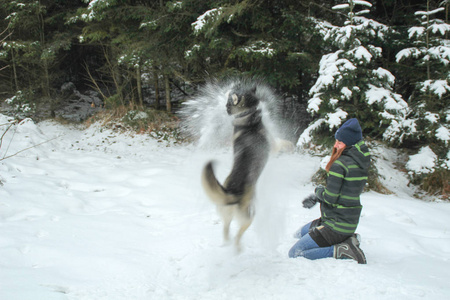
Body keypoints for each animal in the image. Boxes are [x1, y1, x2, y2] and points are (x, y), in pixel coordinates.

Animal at [202, 84, 268, 251]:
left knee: (226, 229)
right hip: (248, 217)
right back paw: (237, 248)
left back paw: (228, 243)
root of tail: (232, 192)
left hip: (226, 212)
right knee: (239, 233)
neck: (248, 115)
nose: (225, 110)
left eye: (227, 105)